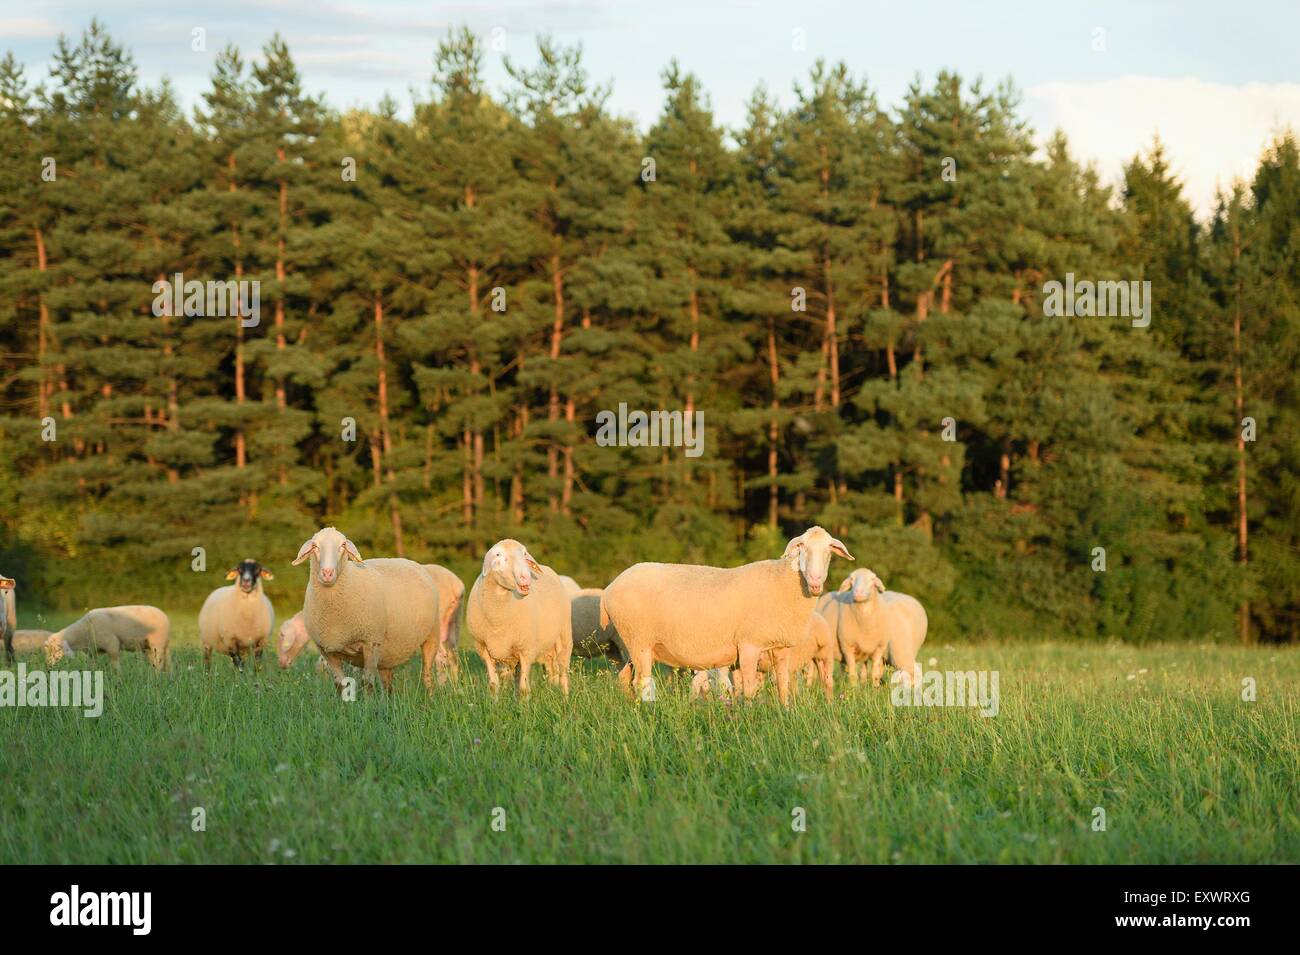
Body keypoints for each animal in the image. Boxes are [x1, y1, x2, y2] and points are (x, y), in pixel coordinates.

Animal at [42, 605, 170, 670]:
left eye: (55, 650)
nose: (48, 667)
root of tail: (166, 617)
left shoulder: (112, 645)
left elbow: (115, 666)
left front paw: (118, 679)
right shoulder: (93, 652)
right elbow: (92, 665)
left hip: (157, 643)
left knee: (159, 663)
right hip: (151, 647)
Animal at [291, 530, 441, 696]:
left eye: (343, 545)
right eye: (314, 546)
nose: (327, 573)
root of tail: (412, 562)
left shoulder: (371, 643)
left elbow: (367, 683)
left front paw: (367, 702)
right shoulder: (327, 650)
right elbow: (340, 684)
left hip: (432, 636)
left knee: (427, 674)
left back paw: (430, 697)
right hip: (387, 653)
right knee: (387, 684)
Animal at [465, 540, 572, 696]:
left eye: (524, 554)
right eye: (498, 554)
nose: (525, 577)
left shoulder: (526, 649)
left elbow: (523, 689)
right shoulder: (483, 649)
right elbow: (493, 686)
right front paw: (494, 702)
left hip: (564, 637)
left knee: (563, 672)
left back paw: (565, 697)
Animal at [598, 527, 852, 706]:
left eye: (828, 552)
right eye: (803, 548)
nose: (816, 582)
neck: (783, 582)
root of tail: (610, 588)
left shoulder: (779, 647)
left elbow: (782, 684)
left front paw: (784, 712)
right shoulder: (749, 644)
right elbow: (748, 689)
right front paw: (751, 716)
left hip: (634, 644)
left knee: (624, 679)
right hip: (638, 640)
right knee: (641, 682)